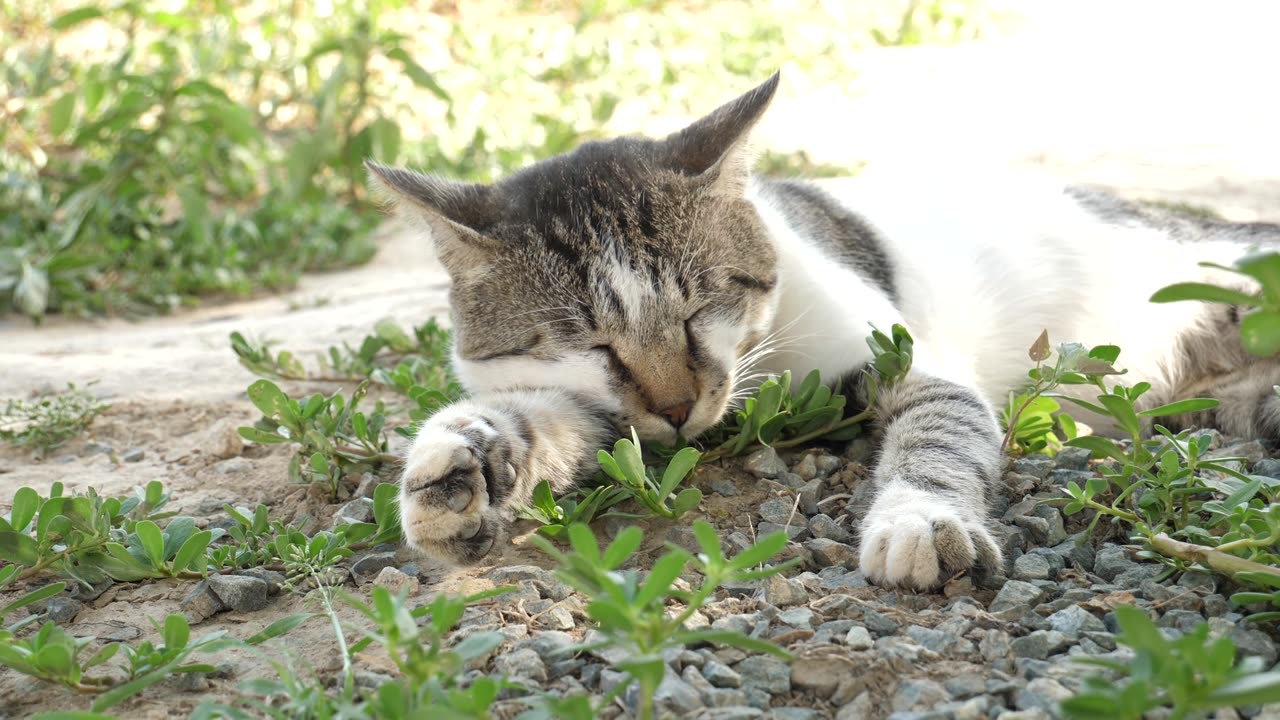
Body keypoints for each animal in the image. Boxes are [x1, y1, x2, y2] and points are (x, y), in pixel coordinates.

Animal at [368, 73, 1280, 589]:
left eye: (700, 308)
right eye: (591, 343)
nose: (678, 409)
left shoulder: (909, 359)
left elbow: (940, 437)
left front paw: (919, 521)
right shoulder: (597, 408)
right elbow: (543, 421)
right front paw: (457, 470)